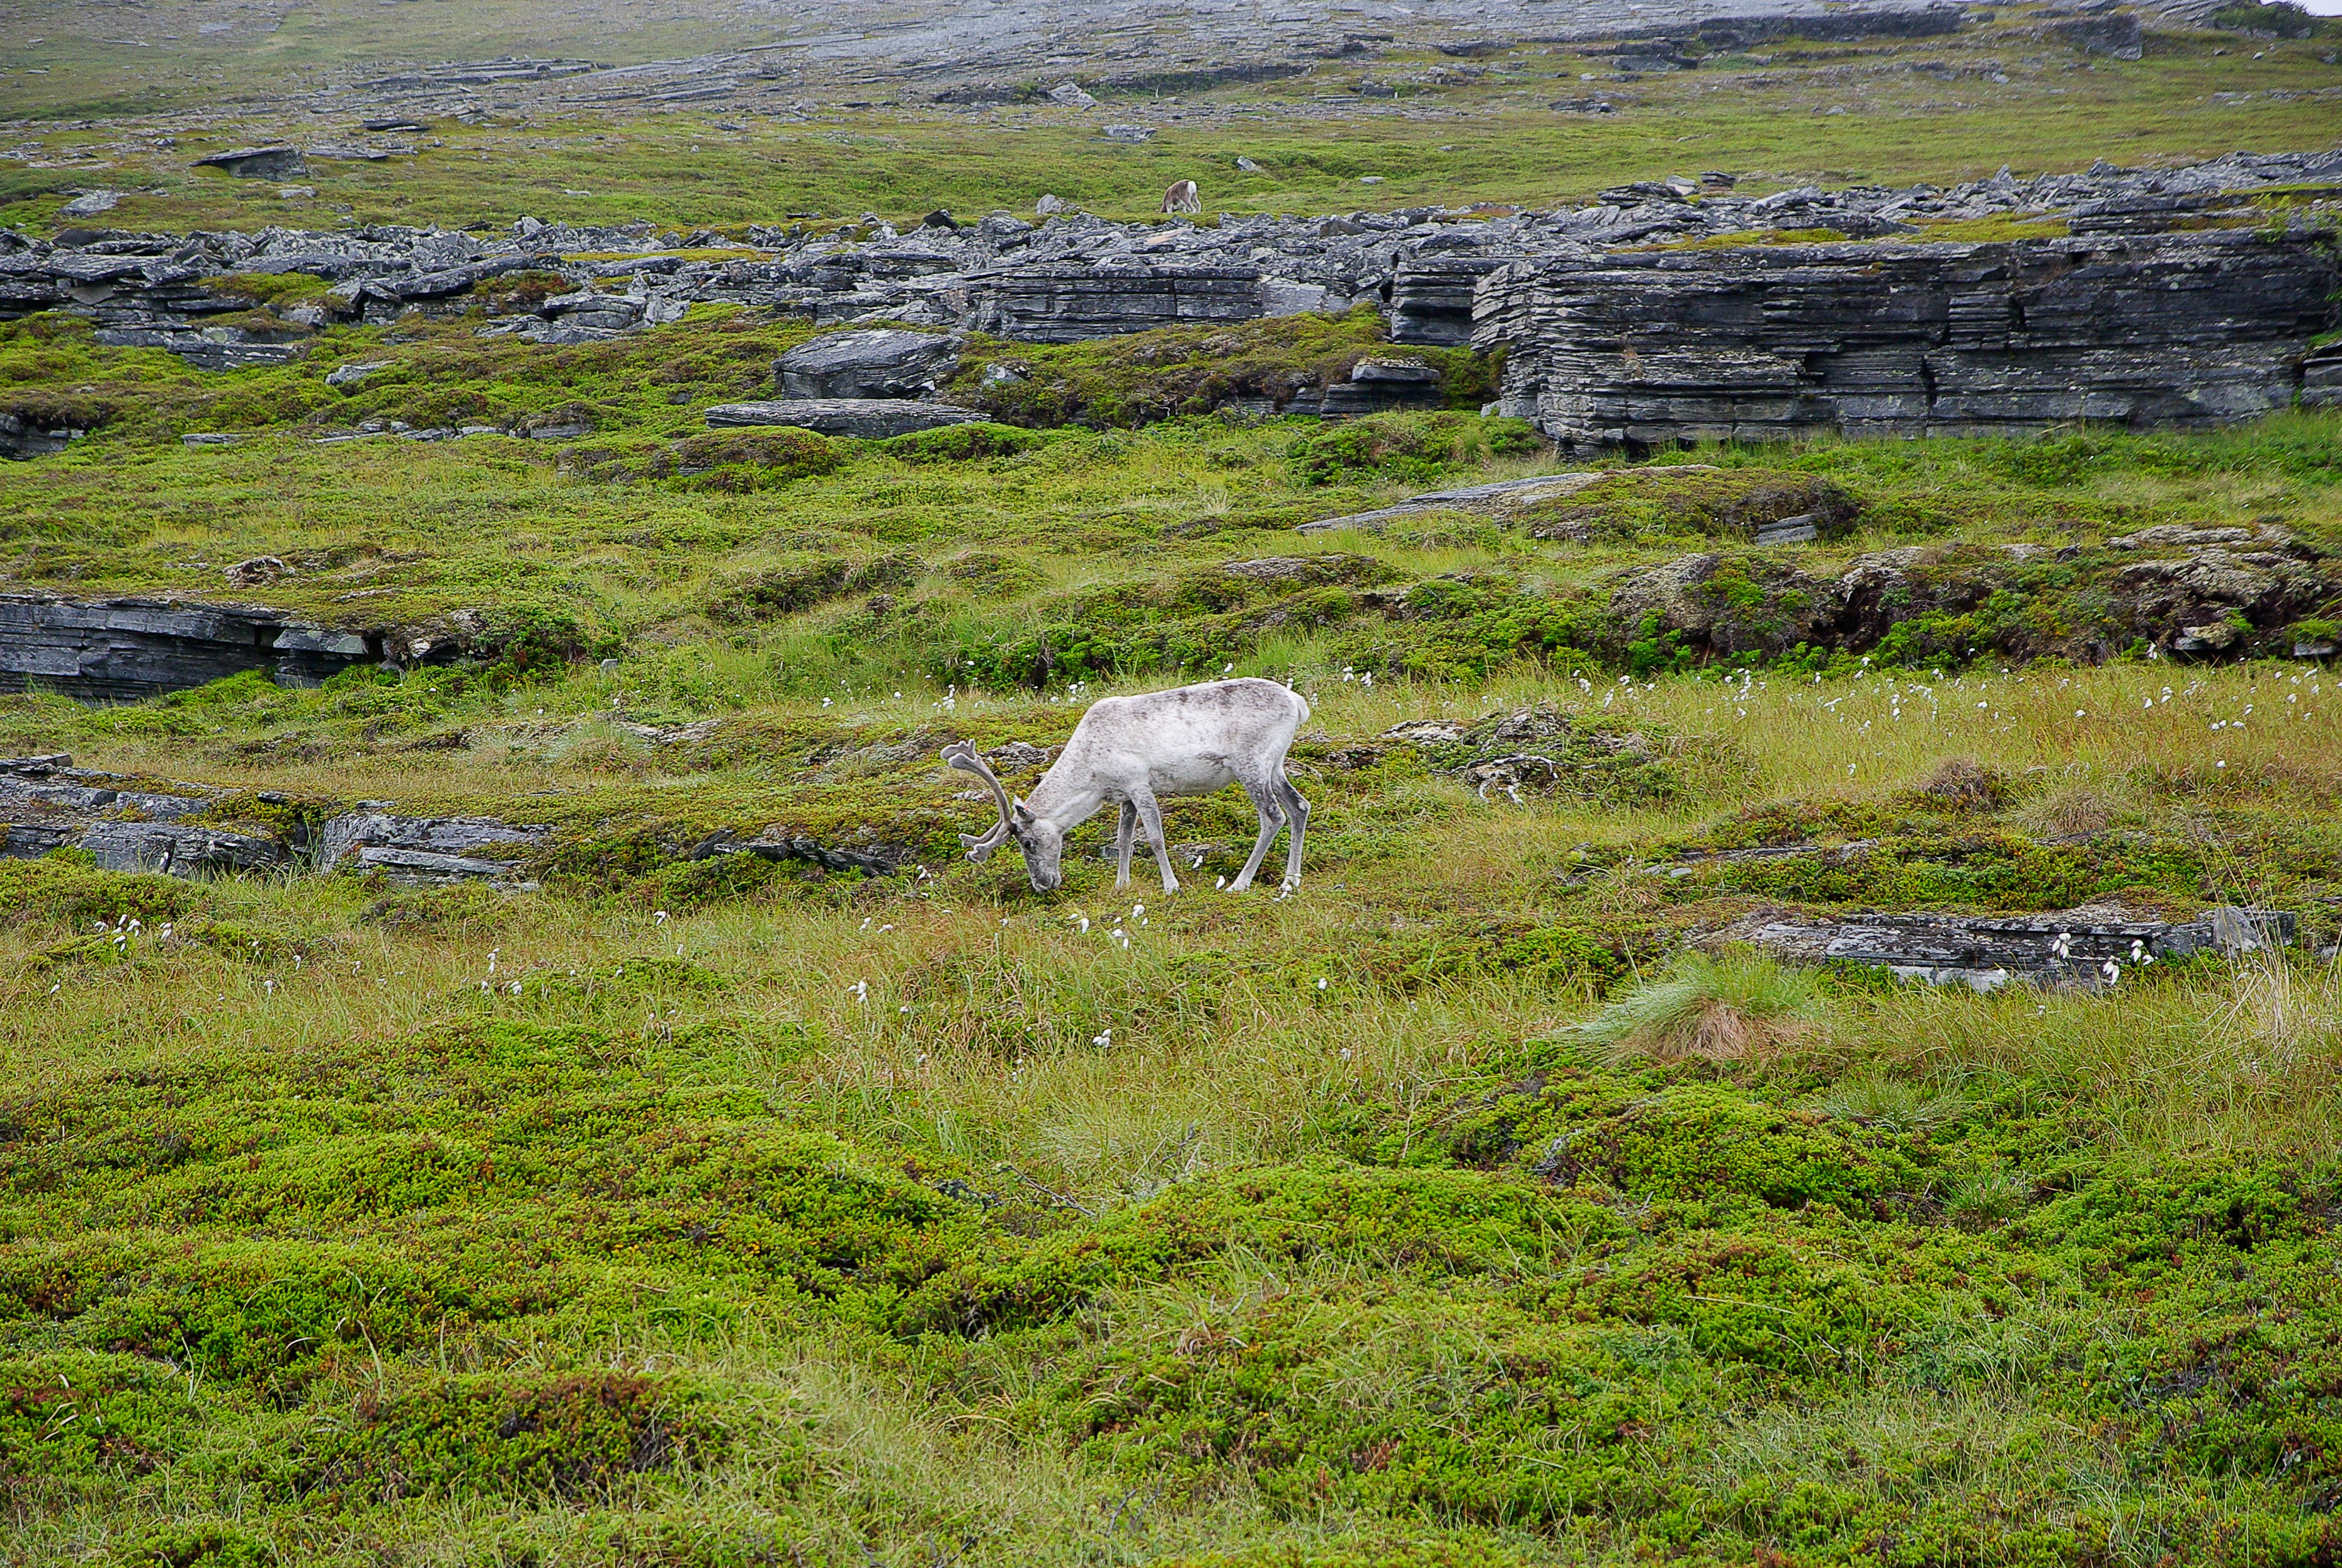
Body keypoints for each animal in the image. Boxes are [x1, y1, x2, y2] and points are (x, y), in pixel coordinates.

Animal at [943, 677, 1309, 896]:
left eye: (1029, 843)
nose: (1043, 885)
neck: (1092, 776)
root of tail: (1297, 702)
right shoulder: (1123, 795)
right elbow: (1123, 838)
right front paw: (1122, 884)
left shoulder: (1138, 783)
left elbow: (1155, 837)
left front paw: (1171, 886)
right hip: (1275, 765)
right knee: (1299, 806)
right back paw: (1291, 881)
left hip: (1252, 764)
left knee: (1273, 816)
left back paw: (1239, 883)